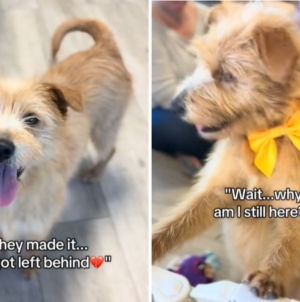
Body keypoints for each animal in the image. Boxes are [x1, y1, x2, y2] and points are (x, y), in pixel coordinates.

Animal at [0, 19, 132, 276]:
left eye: (31, 119)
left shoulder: (39, 224)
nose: (2, 146)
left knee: (109, 151)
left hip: (103, 130)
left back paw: (94, 172)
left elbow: (34, 244)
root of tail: (104, 48)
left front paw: (30, 266)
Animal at [152, 2, 300, 300]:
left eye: (227, 74)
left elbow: (290, 243)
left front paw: (271, 274)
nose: (174, 105)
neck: (269, 135)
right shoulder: (218, 190)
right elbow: (175, 223)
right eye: (200, 61)